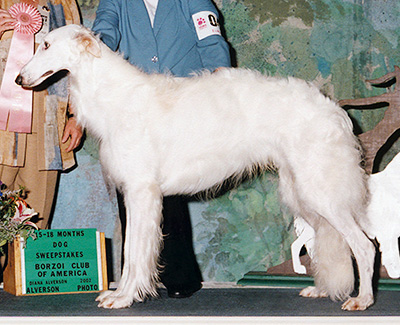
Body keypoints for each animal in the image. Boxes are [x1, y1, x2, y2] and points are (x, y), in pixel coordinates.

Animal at [15, 24, 376, 308]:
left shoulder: (142, 192)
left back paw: (363, 300)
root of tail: (334, 110)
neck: (116, 97)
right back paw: (322, 289)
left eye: (46, 45)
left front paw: (124, 297)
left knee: (364, 246)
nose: (18, 78)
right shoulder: (133, 194)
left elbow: (134, 253)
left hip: (321, 192)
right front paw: (119, 294)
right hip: (301, 192)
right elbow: (130, 251)